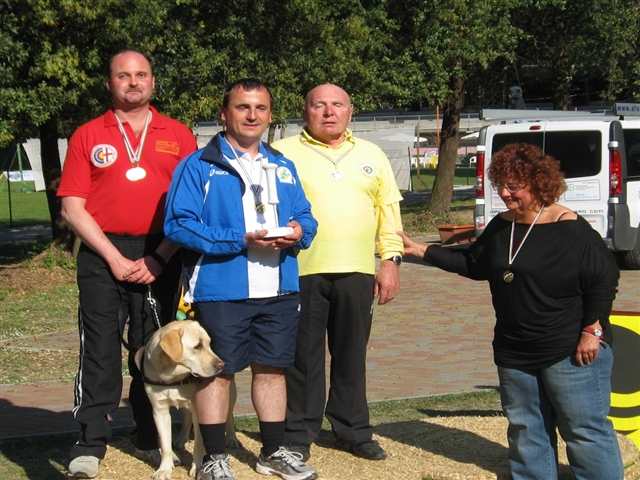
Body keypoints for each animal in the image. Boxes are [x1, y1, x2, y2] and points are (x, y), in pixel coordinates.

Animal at [135, 318, 238, 480]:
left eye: (209, 344)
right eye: (198, 346)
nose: (222, 364)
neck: (171, 377)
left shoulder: (199, 410)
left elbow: (199, 444)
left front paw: (197, 468)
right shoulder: (159, 411)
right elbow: (165, 445)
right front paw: (164, 469)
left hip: (231, 392)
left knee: (228, 415)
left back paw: (231, 439)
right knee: (186, 416)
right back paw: (182, 439)